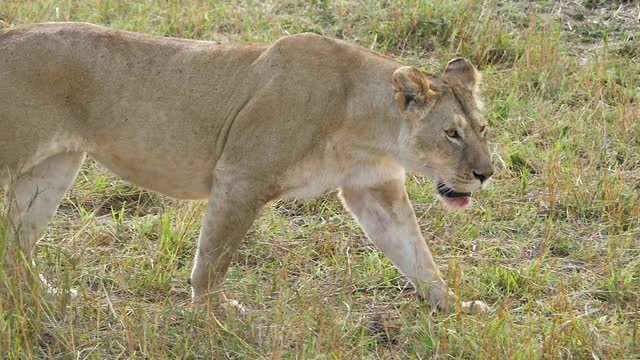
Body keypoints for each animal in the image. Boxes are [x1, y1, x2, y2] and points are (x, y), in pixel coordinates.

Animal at [0, 23, 496, 312]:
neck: (365, 125)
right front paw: (213, 317)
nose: (486, 175)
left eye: (482, 128)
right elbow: (213, 259)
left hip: (53, 168)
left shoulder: (374, 190)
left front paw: (454, 306)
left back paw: (48, 299)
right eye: (451, 134)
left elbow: (416, 255)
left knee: (15, 245)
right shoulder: (241, 177)